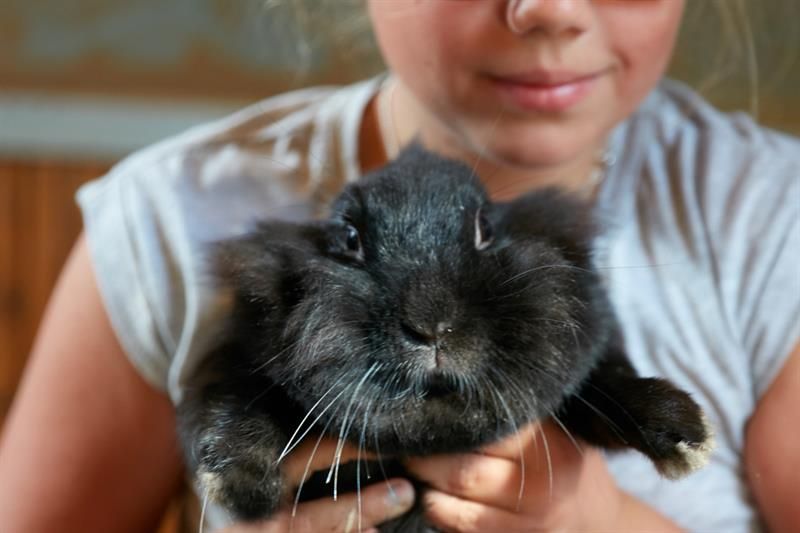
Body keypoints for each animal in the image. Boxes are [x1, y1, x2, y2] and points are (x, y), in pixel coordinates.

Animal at [177, 143, 714, 532]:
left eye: (485, 228)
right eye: (349, 238)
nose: (432, 325)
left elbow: (609, 386)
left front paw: (686, 436)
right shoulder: (236, 361)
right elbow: (237, 403)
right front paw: (239, 485)